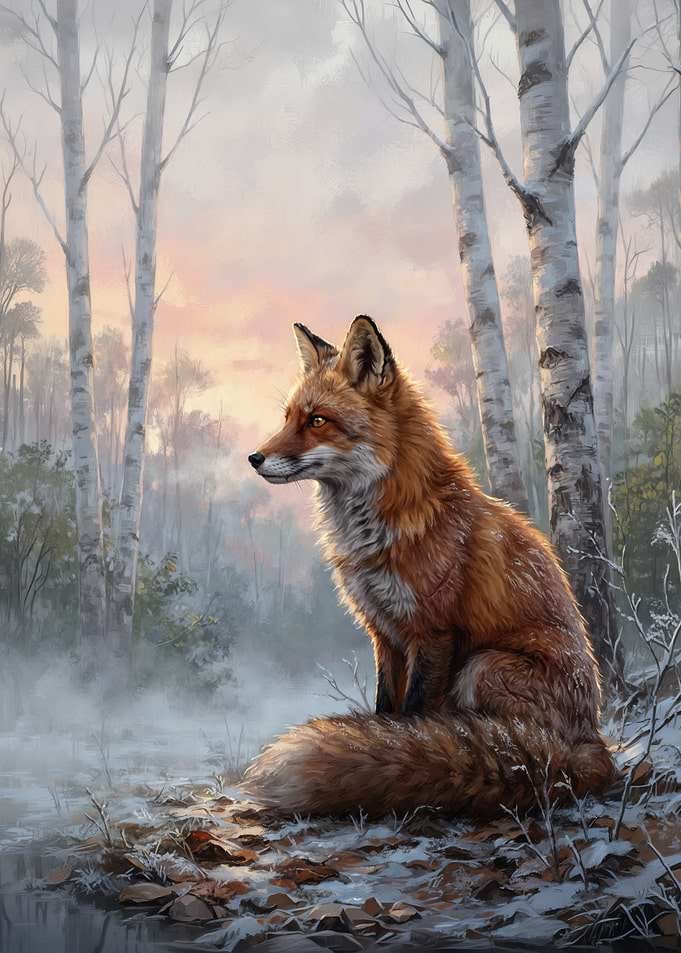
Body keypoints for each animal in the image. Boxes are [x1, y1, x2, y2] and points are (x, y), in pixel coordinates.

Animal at [244, 315, 618, 818]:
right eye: (287, 418)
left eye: (317, 420)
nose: (255, 458)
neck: (378, 533)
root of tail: (593, 745)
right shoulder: (384, 632)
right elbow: (386, 712)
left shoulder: (433, 631)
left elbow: (414, 717)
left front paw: (401, 763)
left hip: (483, 666)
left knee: (518, 742)